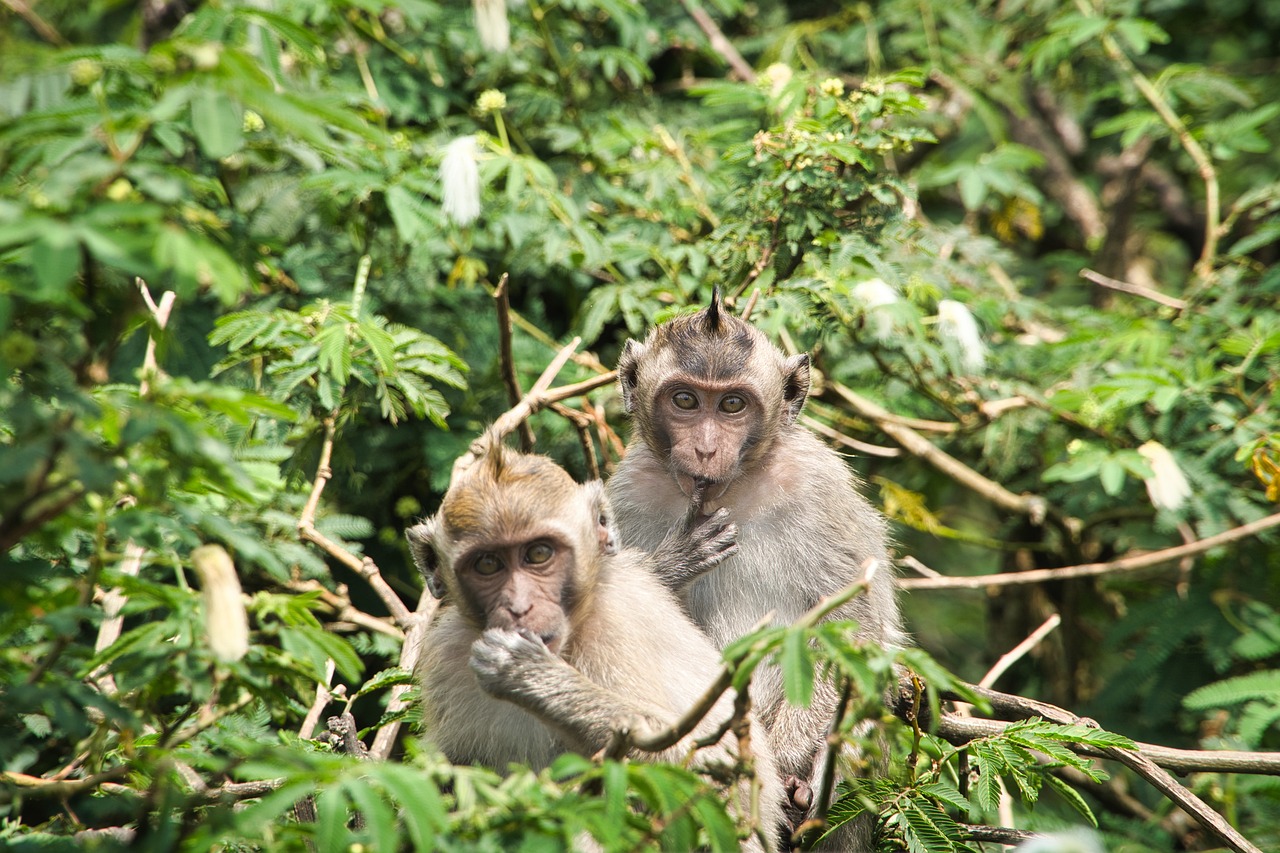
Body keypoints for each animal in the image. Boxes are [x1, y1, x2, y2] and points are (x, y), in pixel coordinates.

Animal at [405, 434, 785, 850]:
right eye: (487, 564)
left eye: (538, 553)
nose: (520, 607)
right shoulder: (446, 653)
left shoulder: (613, 628)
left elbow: (711, 769)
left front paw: (530, 676)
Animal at [606, 290, 906, 846]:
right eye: (685, 401)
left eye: (732, 404)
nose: (705, 448)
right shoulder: (629, 493)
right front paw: (675, 561)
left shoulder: (816, 486)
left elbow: (848, 625)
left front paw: (794, 760)